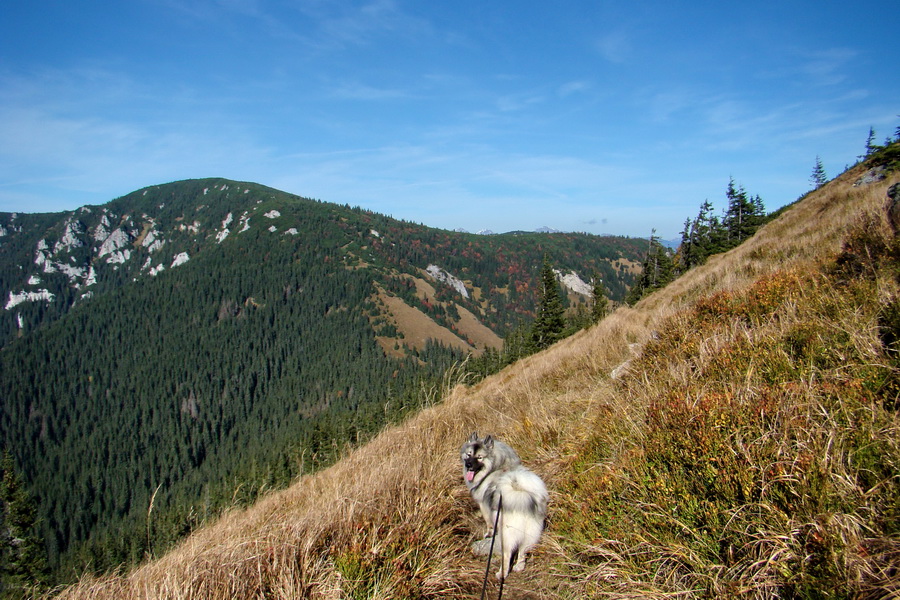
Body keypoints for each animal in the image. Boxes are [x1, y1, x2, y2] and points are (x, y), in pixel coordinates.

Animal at [460, 432, 544, 580]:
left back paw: (502, 573)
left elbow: (488, 523)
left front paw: (488, 534)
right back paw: (519, 566)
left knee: (507, 555)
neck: (496, 466)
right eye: (469, 454)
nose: (468, 464)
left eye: (479, 457)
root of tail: (521, 499)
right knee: (522, 551)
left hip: (507, 534)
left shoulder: (484, 505)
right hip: (530, 534)